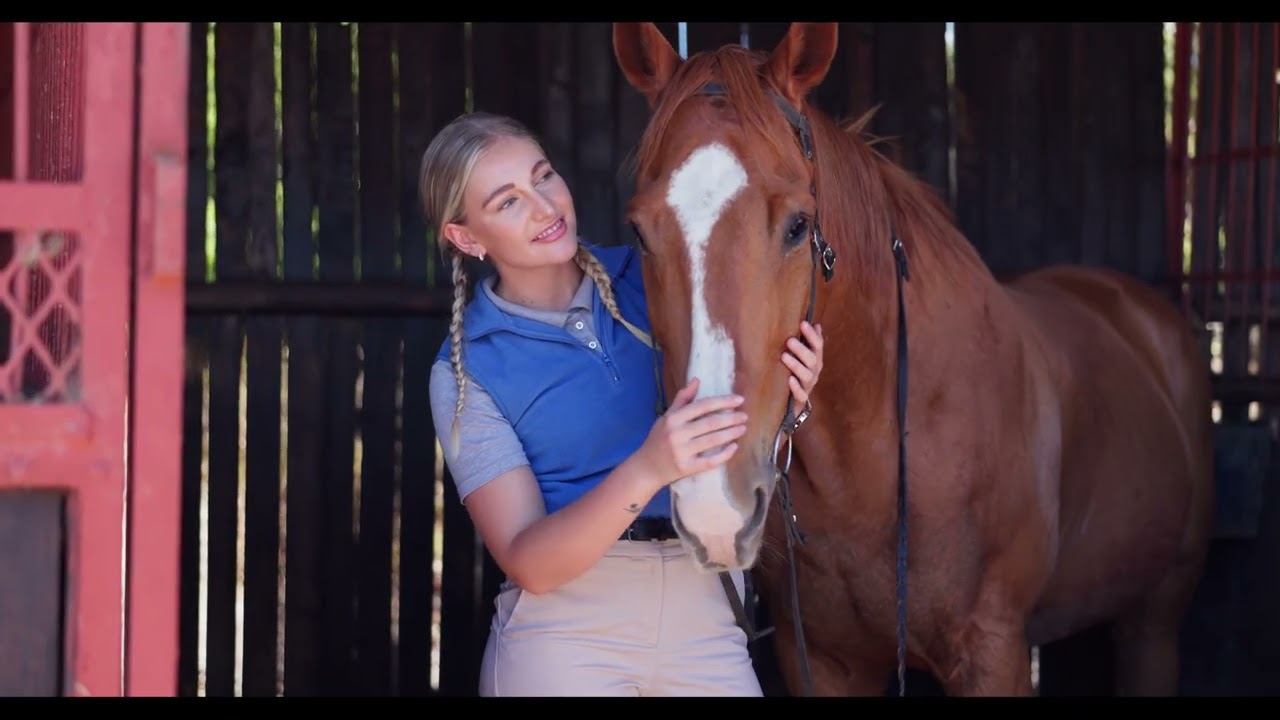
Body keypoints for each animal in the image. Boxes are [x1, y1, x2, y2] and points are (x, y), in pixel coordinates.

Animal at [610, 22, 1216, 697]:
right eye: (638, 232)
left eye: (798, 225)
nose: (715, 507)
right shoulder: (822, 660)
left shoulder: (994, 653)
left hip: (1152, 624)